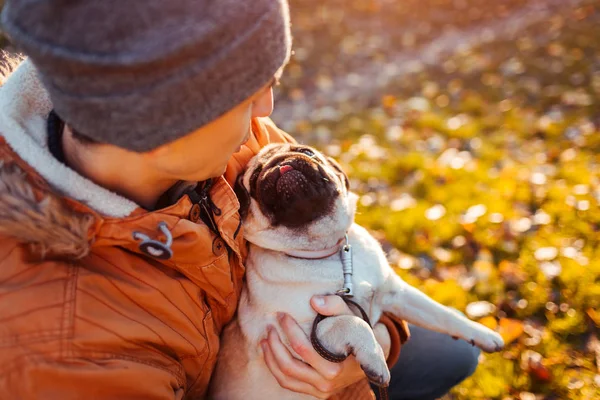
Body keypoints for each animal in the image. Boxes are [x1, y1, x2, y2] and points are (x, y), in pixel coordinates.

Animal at [209, 142, 504, 398]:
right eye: (255, 178)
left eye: (307, 152)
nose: (281, 164)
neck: (330, 252)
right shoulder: (289, 339)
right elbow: (350, 322)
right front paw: (375, 359)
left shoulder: (396, 294)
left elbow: (441, 313)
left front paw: (482, 333)